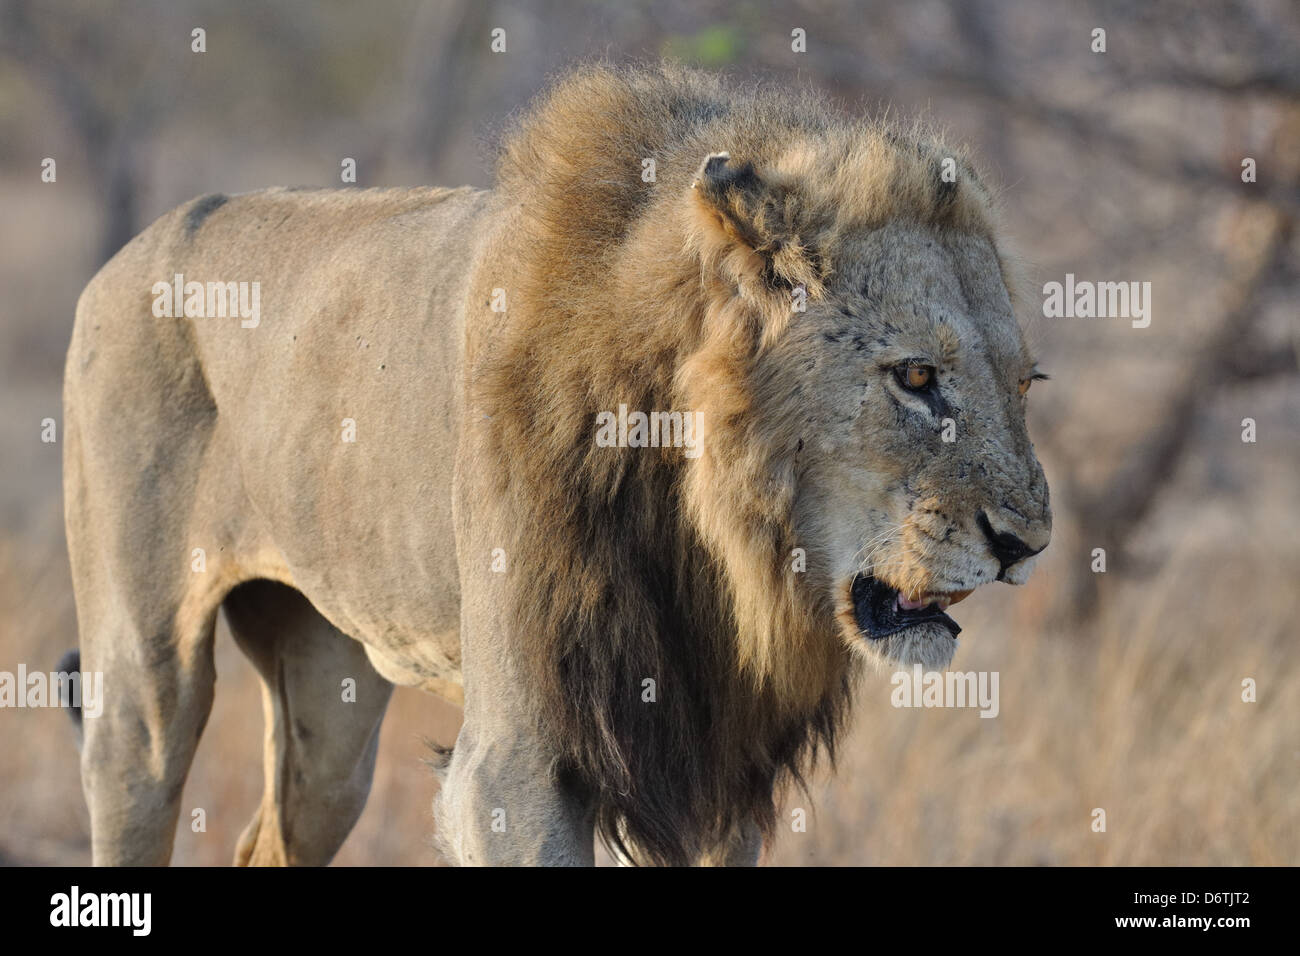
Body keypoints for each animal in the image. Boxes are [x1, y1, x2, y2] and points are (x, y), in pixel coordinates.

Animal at [61, 64, 1049, 867]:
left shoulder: (710, 761)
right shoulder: (513, 766)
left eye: (1025, 383)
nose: (1027, 547)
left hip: (327, 704)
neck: (712, 532)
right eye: (916, 377)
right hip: (142, 688)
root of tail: (125, 256)